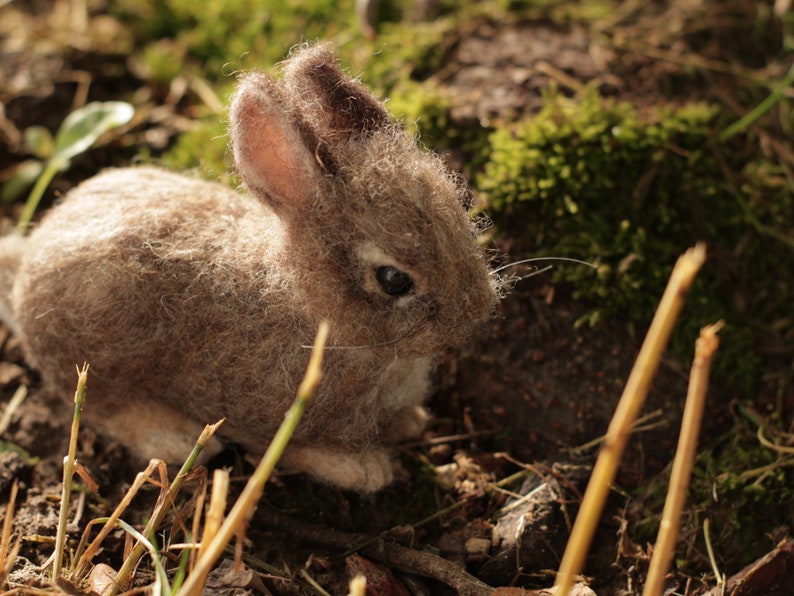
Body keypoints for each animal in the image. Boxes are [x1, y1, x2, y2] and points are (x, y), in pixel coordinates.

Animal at [0, 44, 496, 492]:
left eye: (461, 214)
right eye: (394, 280)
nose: (473, 320)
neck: (320, 315)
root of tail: (27, 268)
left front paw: (411, 421)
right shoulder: (268, 414)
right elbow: (296, 449)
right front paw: (365, 469)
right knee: (103, 407)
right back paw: (172, 437)